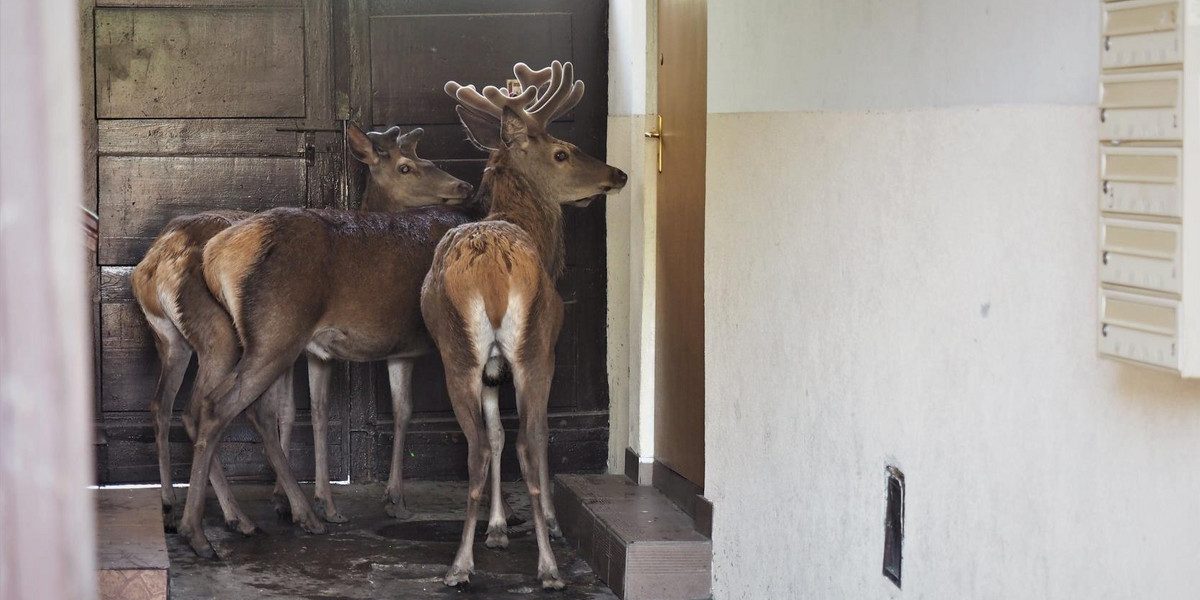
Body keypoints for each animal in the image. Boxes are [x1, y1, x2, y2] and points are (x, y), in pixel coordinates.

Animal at [130, 123, 468, 535]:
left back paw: (171, 505)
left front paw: (295, 498)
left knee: (162, 405)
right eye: (407, 167)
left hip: (171, 340)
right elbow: (292, 411)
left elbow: (310, 411)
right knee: (204, 409)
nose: (463, 186)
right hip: (231, 335)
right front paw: (307, 501)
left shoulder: (314, 351)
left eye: (428, 158)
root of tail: (154, 264)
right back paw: (239, 516)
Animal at [422, 60, 628, 590]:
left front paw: (496, 528)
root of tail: (492, 275)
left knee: (477, 447)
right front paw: (549, 525)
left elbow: (495, 434)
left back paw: (460, 564)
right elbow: (532, 438)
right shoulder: (547, 348)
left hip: (457, 354)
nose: (617, 173)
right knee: (530, 441)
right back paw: (549, 567)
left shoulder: (492, 370)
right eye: (562, 151)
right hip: (532, 347)